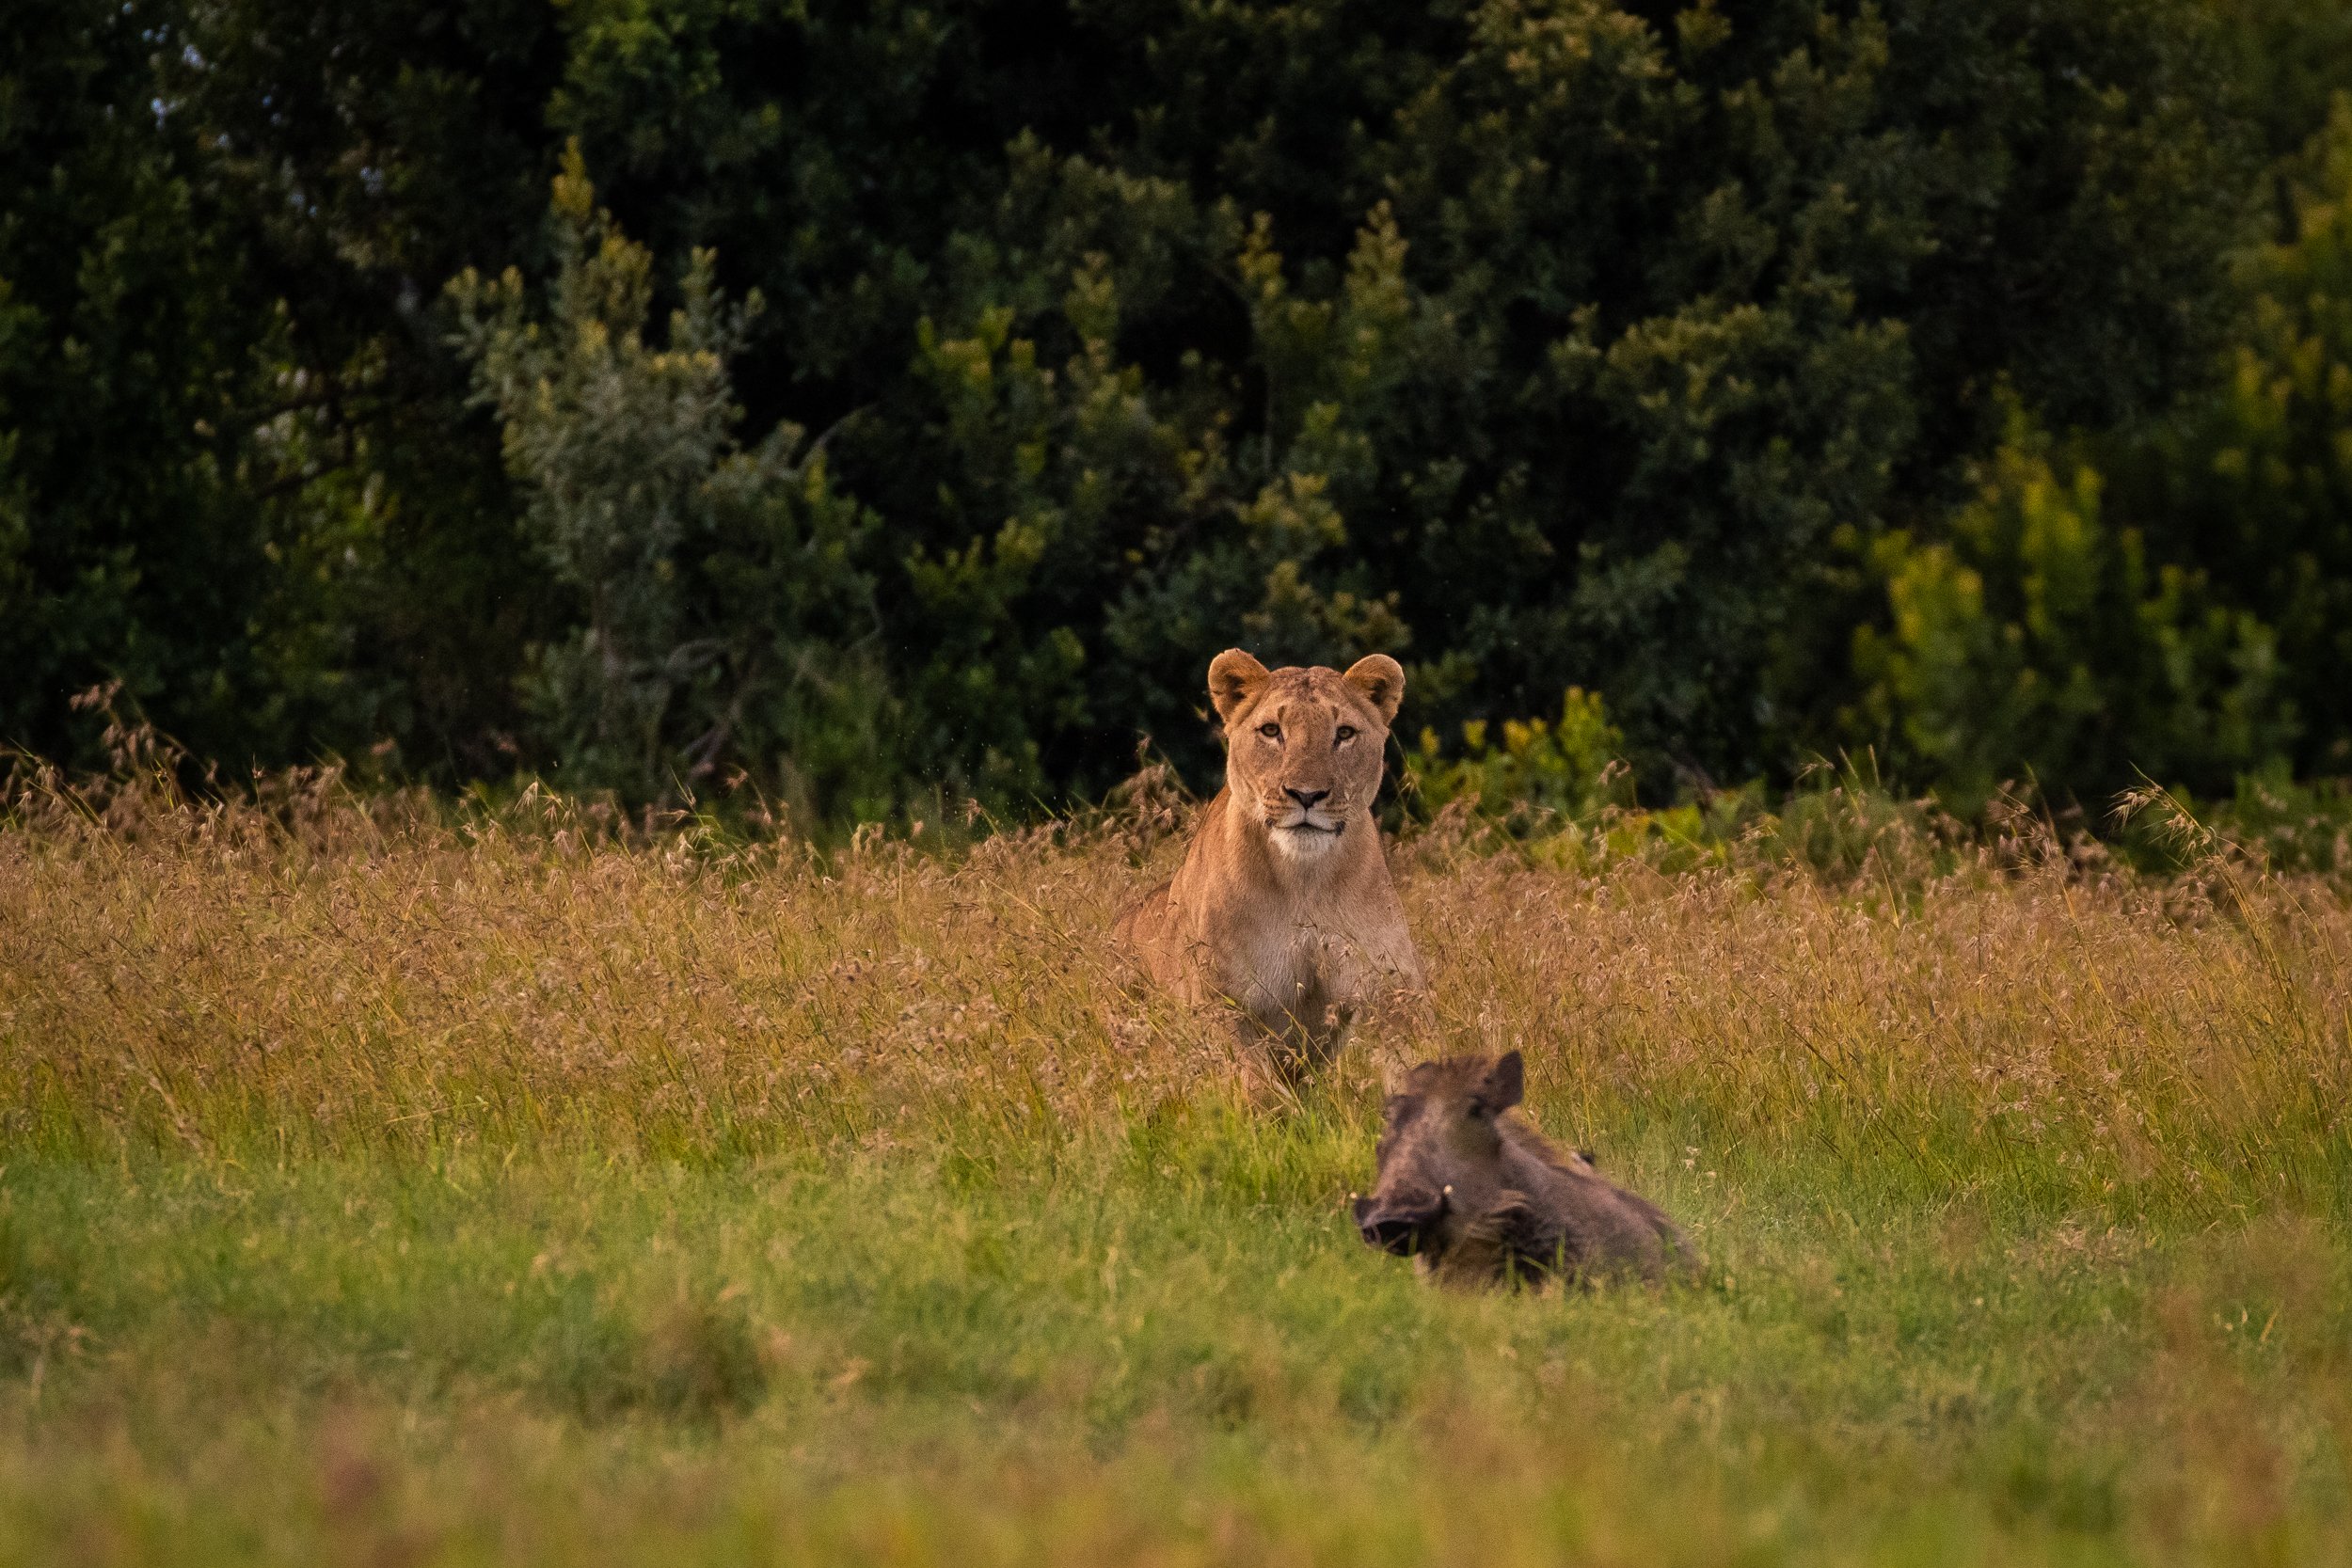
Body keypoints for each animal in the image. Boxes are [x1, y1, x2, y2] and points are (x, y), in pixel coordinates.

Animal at [1114, 648, 1427, 1079]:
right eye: (1270, 731)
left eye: (1344, 733)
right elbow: (1259, 1086)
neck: (1304, 882)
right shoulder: (1222, 1004)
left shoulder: (1393, 991)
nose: (1307, 795)